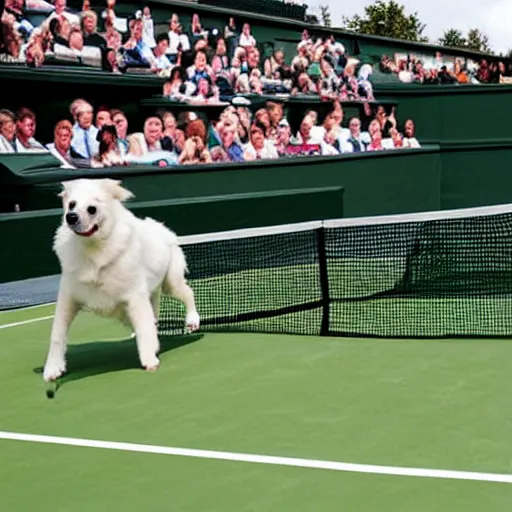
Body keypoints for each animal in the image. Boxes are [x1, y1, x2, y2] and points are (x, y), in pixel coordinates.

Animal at [42, 178, 200, 382]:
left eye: (92, 209)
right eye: (71, 205)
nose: (71, 217)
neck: (94, 250)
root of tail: (161, 228)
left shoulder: (135, 297)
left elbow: (144, 329)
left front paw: (149, 359)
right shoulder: (68, 298)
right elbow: (57, 335)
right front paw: (53, 368)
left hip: (171, 284)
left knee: (188, 293)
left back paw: (192, 319)